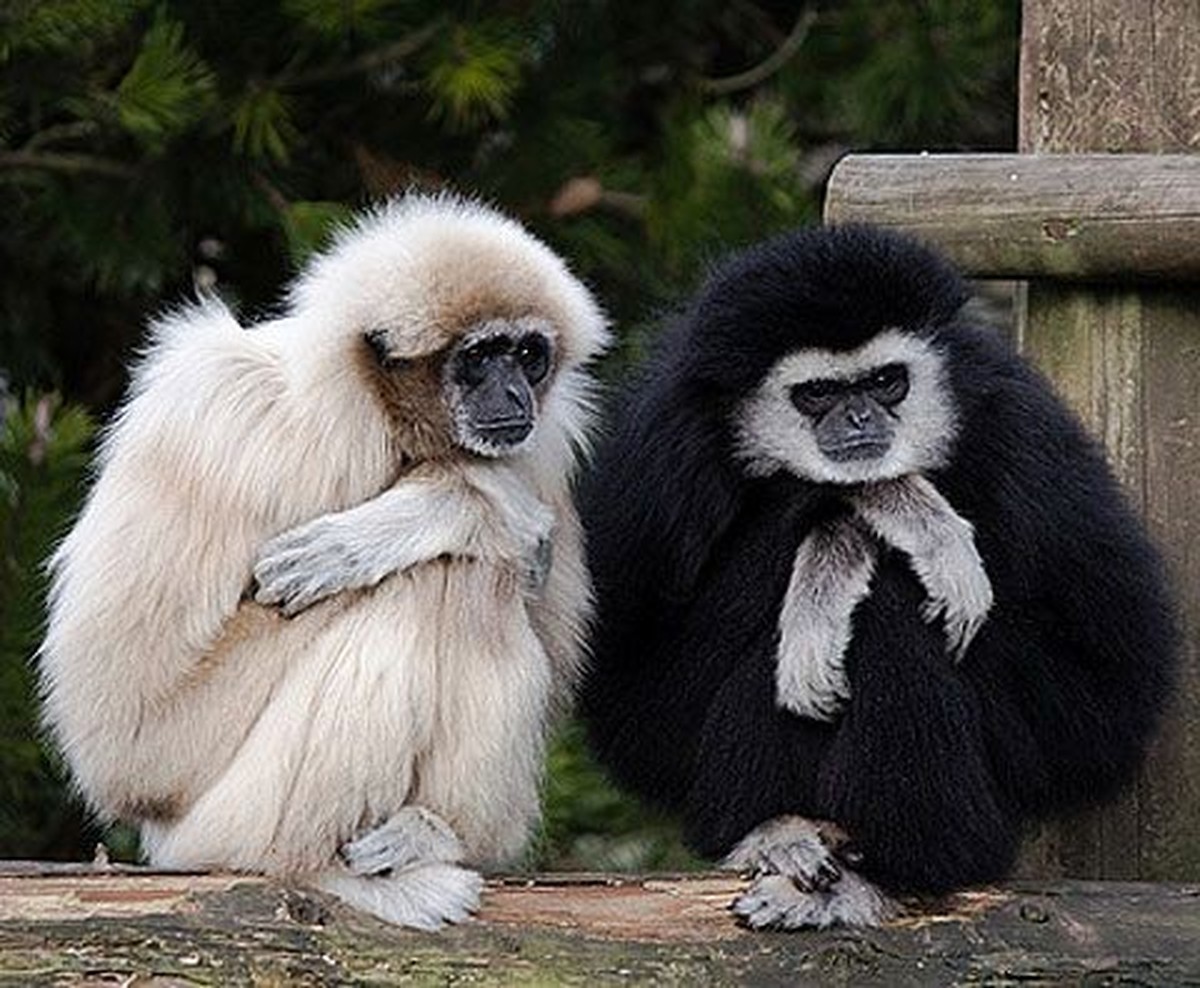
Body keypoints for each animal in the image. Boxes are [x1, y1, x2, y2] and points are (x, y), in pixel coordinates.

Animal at [38, 193, 609, 930]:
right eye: (481, 357)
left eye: (529, 354)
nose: (513, 394)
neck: (382, 418)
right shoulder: (225, 417)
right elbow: (127, 731)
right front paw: (464, 503)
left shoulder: (546, 443)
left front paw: (405, 520)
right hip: (224, 824)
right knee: (441, 580)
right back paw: (324, 874)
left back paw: (431, 835)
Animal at [579, 223, 1176, 929]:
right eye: (817, 393)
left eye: (887, 381)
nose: (862, 418)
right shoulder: (661, 449)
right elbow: (633, 699)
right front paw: (892, 512)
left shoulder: (1019, 425)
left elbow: (1110, 686)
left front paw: (876, 526)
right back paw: (778, 828)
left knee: (892, 614)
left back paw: (896, 870)